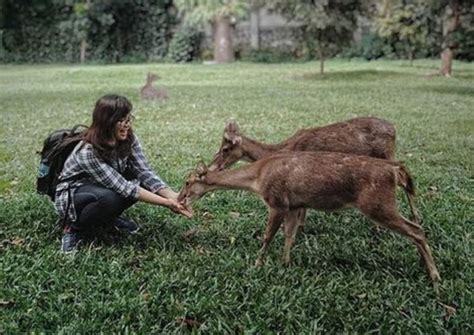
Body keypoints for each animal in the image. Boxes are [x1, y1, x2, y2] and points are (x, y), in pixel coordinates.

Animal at [178, 151, 440, 288]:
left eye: (188, 182)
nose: (180, 198)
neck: (257, 178)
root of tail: (396, 170)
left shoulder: (277, 201)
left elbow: (267, 236)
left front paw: (257, 264)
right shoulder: (295, 205)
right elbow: (289, 235)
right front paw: (285, 264)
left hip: (377, 203)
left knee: (416, 229)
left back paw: (435, 277)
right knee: (417, 226)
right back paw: (424, 266)